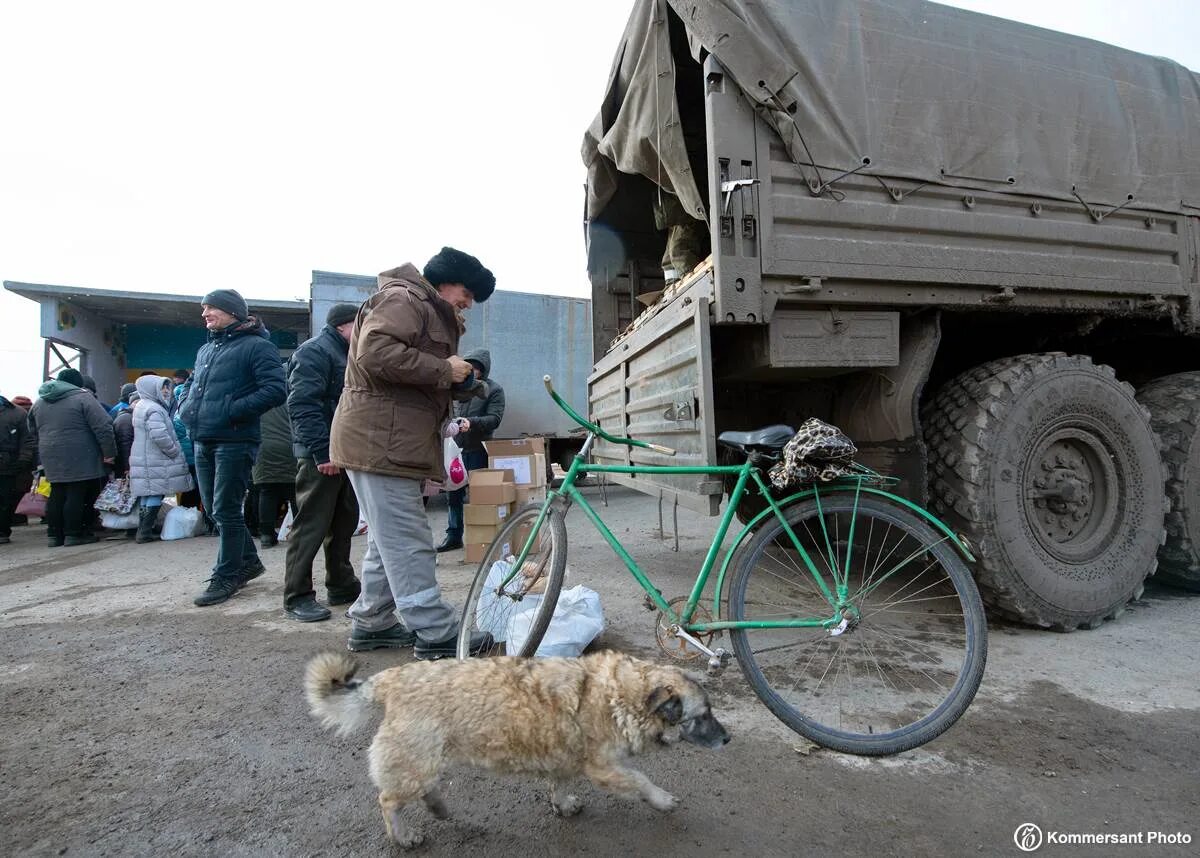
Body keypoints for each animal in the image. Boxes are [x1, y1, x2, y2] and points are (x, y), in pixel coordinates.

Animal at [304, 652, 724, 844]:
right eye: (702, 715)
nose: (727, 739)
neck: (620, 694)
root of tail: (390, 679)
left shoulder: (564, 758)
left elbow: (560, 783)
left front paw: (563, 804)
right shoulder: (606, 769)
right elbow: (640, 781)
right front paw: (662, 799)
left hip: (425, 759)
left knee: (424, 789)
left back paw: (437, 807)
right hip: (415, 762)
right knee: (389, 801)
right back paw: (402, 835)